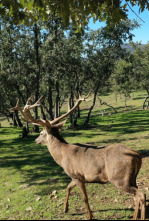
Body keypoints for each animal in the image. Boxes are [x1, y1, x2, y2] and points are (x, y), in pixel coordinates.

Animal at [9, 92, 146, 220]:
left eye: (42, 133)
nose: (36, 140)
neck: (61, 157)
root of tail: (137, 155)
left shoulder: (77, 175)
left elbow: (85, 197)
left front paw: (89, 216)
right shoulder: (75, 176)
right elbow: (68, 187)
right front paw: (65, 208)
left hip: (119, 178)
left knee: (141, 195)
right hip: (132, 178)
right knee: (137, 195)